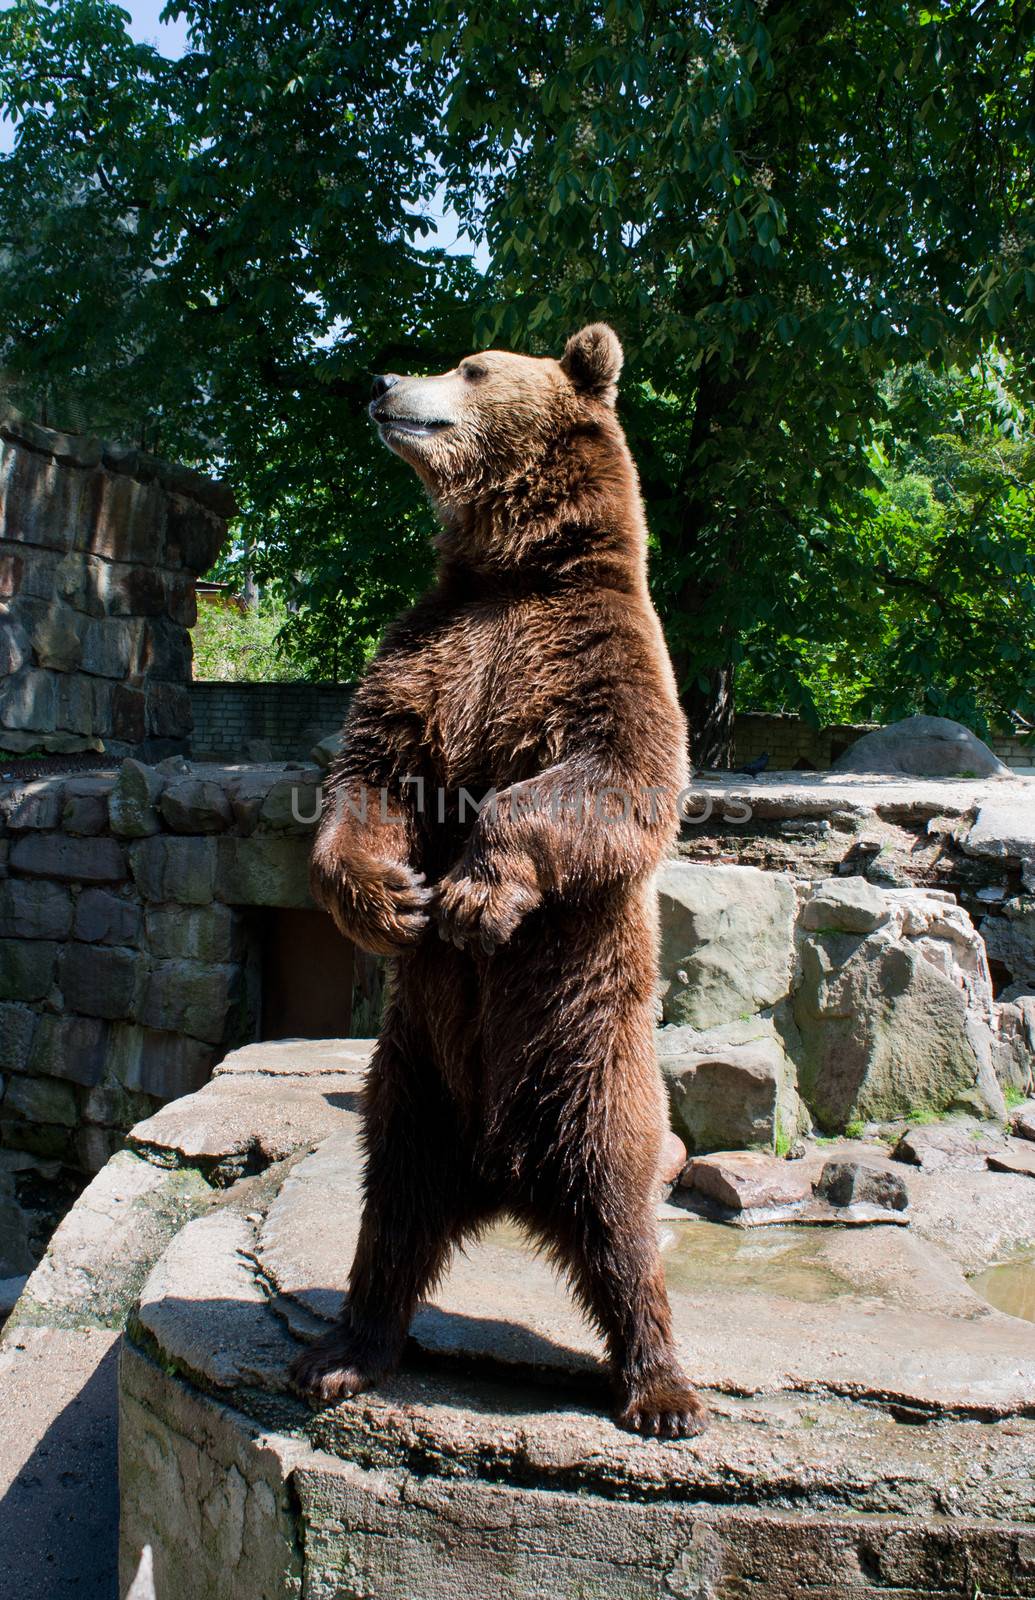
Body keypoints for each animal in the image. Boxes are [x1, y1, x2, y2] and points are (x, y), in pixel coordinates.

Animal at [291, 321, 713, 1440]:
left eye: (473, 367)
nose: (382, 378)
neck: (514, 569)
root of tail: (504, 1177)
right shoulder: (426, 655)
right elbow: (367, 775)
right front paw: (389, 898)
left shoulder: (599, 655)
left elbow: (610, 777)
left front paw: (475, 894)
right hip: (413, 1079)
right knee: (391, 1214)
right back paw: (344, 1353)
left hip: (588, 1061)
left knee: (621, 1218)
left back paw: (661, 1387)